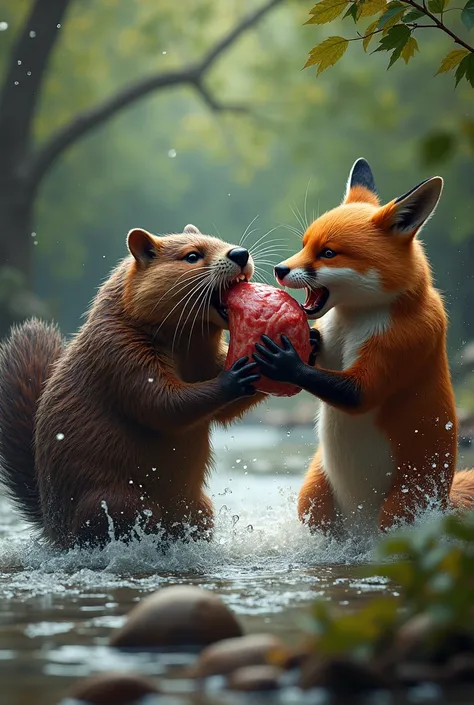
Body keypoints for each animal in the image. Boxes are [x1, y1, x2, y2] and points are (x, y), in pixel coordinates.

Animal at [254, 158, 474, 532]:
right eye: (304, 244)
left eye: (328, 253)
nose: (279, 269)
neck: (352, 320)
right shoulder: (332, 349)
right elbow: (319, 359)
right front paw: (308, 339)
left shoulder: (399, 347)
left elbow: (357, 392)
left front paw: (285, 362)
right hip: (313, 493)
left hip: (398, 509)